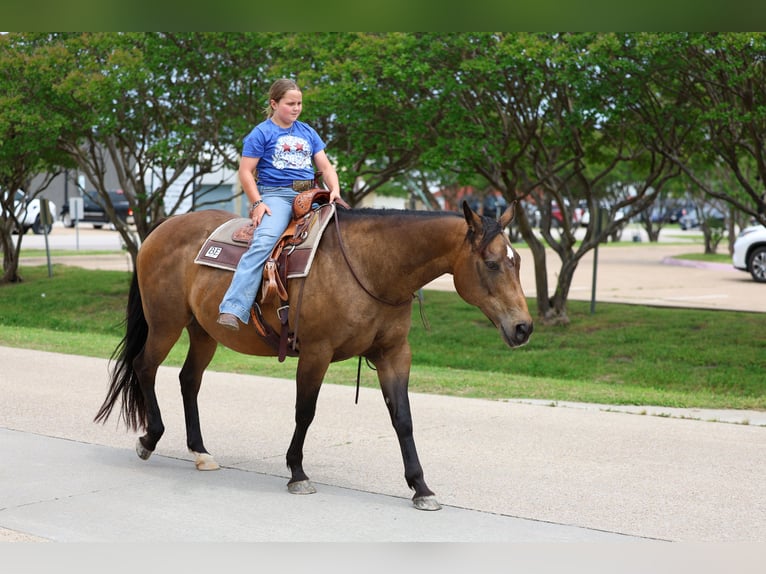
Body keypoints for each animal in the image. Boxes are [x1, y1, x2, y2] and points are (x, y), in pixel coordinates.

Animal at [94, 201, 533, 511]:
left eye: (518, 262)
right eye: (491, 263)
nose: (523, 328)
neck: (373, 267)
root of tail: (159, 230)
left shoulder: (394, 354)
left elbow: (403, 419)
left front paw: (421, 487)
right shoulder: (316, 353)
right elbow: (305, 412)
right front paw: (297, 473)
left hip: (204, 332)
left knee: (189, 380)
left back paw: (200, 452)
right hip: (165, 324)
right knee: (145, 367)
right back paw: (150, 438)